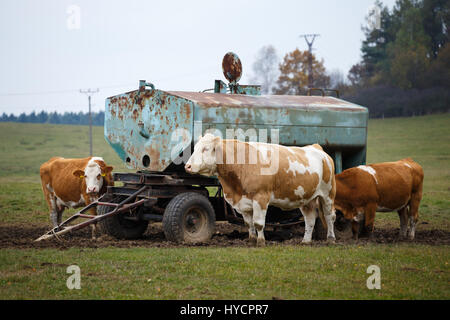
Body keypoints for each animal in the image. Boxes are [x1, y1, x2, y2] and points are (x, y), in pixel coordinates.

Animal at [185, 134, 336, 246]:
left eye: (206, 148)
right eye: (195, 148)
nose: (187, 166)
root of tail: (317, 148)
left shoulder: (261, 197)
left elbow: (258, 223)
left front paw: (261, 242)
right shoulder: (243, 202)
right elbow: (249, 223)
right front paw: (252, 241)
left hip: (328, 194)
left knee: (329, 216)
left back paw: (331, 239)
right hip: (306, 198)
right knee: (310, 219)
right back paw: (306, 241)